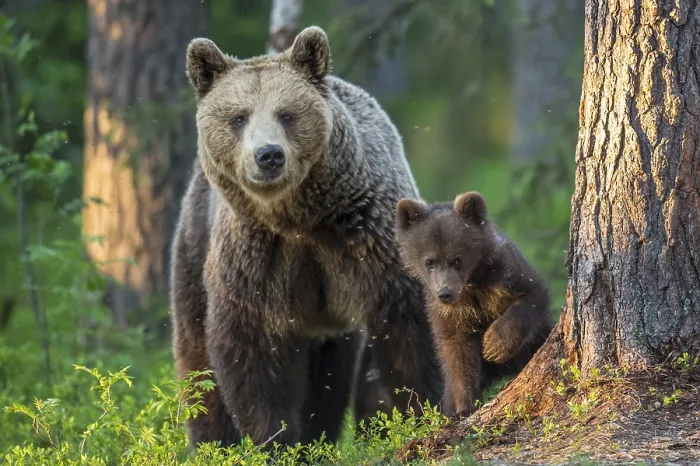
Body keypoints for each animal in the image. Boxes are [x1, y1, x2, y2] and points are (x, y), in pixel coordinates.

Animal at [169, 26, 443, 450]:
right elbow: (251, 351)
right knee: (197, 358)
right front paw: (273, 441)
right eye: (238, 117)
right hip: (194, 245)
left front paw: (420, 412)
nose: (268, 155)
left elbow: (408, 325)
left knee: (329, 378)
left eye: (286, 113)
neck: (299, 218)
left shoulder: (368, 238)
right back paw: (213, 443)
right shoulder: (255, 258)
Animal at [394, 191, 552, 418]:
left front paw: (495, 344)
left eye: (457, 259)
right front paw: (464, 408)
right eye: (429, 261)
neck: (471, 284)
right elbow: (459, 356)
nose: (445, 293)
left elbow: (532, 297)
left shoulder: (506, 275)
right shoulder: (448, 313)